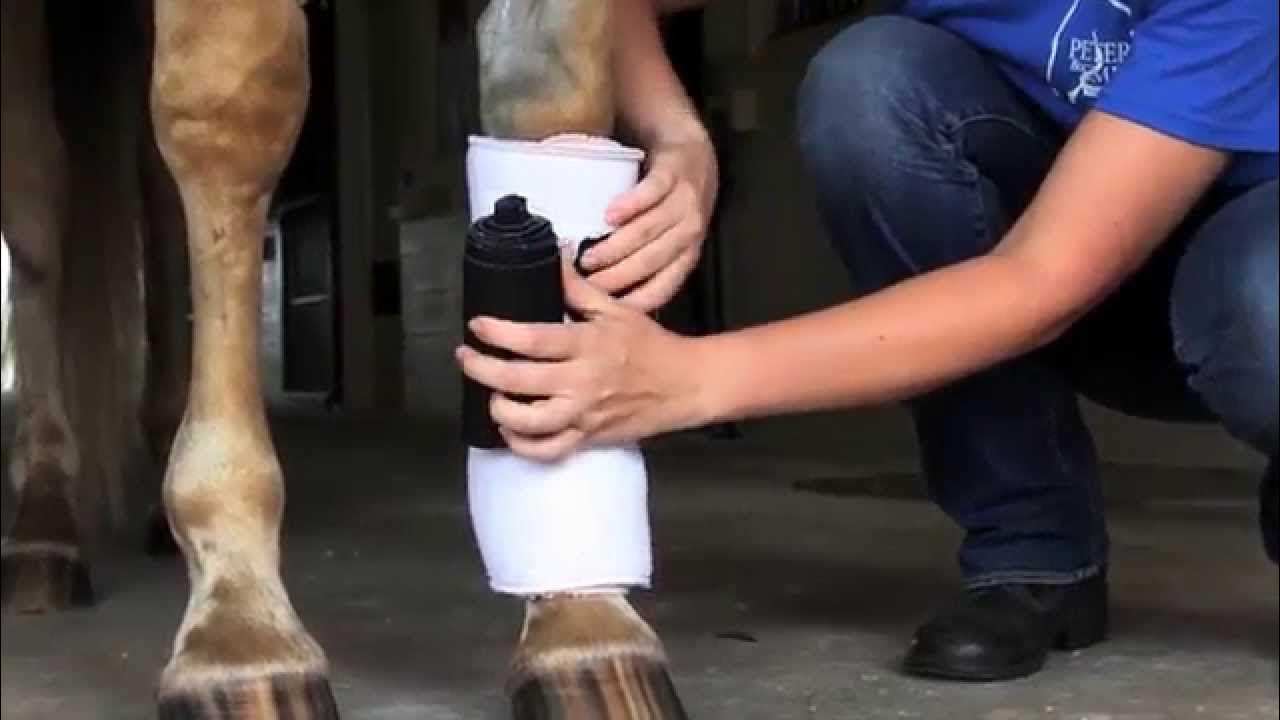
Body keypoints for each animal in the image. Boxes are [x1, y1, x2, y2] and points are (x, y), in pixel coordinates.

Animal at [0, 1, 687, 717]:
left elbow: (550, 92)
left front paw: (584, 625)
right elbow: (228, 107)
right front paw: (239, 625)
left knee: (151, 200)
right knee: (36, 198)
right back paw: (44, 524)